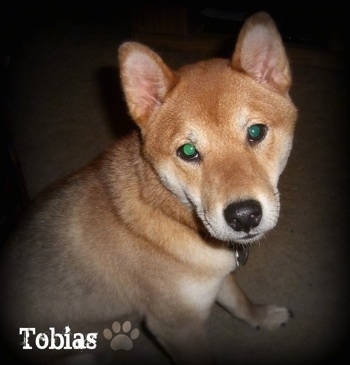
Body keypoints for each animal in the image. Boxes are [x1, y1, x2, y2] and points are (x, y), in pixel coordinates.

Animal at [1, 11, 298, 364]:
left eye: (255, 132)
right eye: (188, 151)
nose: (244, 216)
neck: (170, 212)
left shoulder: (216, 280)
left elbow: (239, 302)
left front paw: (262, 317)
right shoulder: (177, 326)